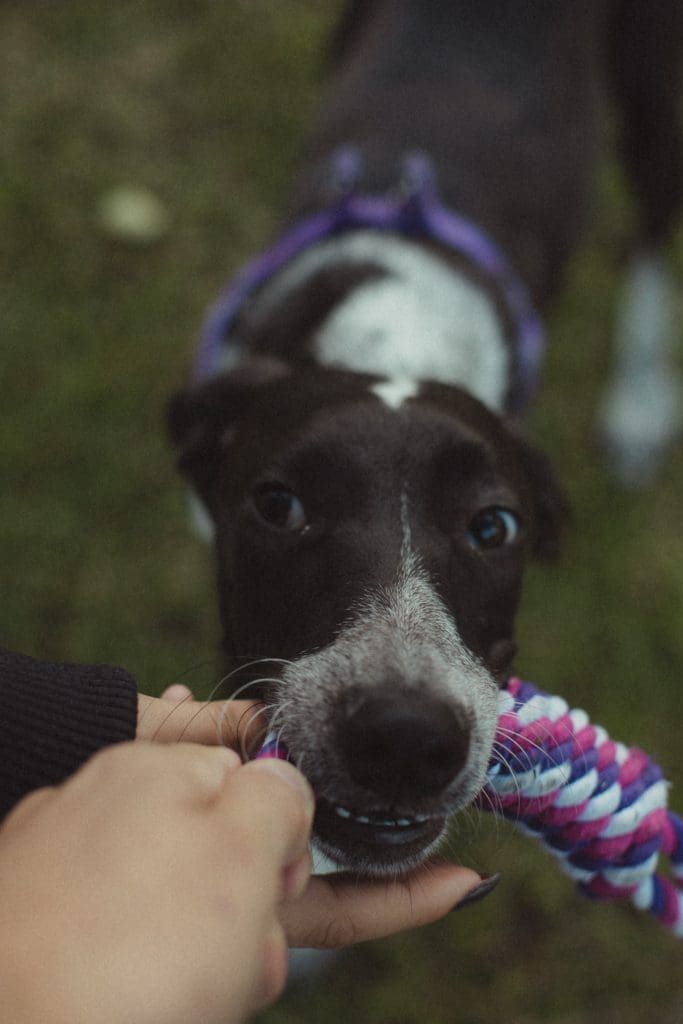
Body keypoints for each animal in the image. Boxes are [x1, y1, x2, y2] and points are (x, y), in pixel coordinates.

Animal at [167, 2, 679, 880]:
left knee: (648, 229)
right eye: (277, 506)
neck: (395, 340)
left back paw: (639, 404)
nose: (405, 740)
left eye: (494, 527)